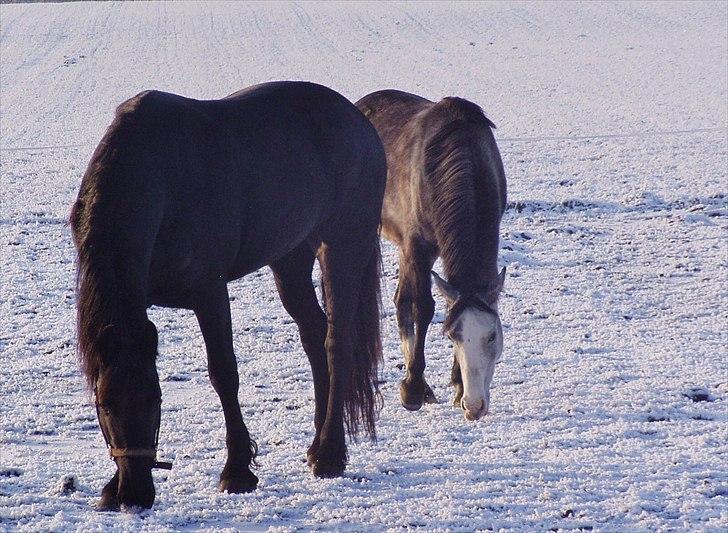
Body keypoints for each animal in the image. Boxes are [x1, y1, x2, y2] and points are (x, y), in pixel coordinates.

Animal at [70, 81, 386, 510]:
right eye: (104, 405)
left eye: (155, 400)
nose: (134, 494)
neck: (161, 176)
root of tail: (359, 122)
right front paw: (108, 487)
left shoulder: (209, 292)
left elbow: (224, 374)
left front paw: (237, 471)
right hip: (289, 258)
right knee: (314, 336)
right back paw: (317, 443)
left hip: (343, 248)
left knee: (336, 343)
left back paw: (330, 454)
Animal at [356, 91, 506, 422]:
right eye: (452, 337)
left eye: (492, 335)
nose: (474, 406)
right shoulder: (418, 246)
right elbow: (422, 308)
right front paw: (412, 390)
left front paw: (457, 386)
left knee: (400, 300)